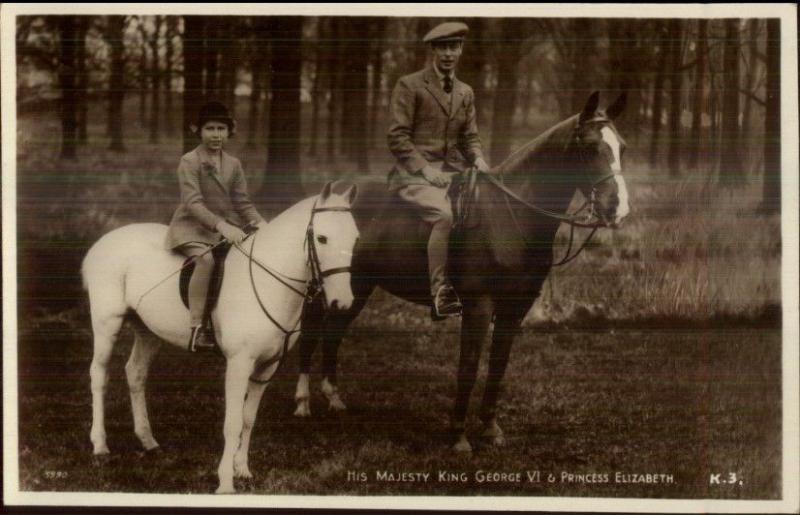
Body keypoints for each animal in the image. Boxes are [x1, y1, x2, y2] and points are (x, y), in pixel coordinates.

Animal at [83, 182, 358, 496]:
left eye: (355, 239)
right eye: (322, 238)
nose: (342, 303)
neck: (269, 281)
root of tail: (103, 241)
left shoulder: (267, 367)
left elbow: (248, 419)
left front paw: (243, 470)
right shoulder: (239, 364)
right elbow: (233, 422)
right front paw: (225, 482)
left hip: (148, 330)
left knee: (136, 373)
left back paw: (148, 440)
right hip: (107, 323)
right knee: (99, 376)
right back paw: (100, 445)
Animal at [296, 91, 632, 452]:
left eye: (623, 148)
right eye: (589, 147)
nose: (619, 209)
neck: (509, 215)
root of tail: (327, 197)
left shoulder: (516, 307)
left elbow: (498, 364)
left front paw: (491, 428)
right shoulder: (479, 305)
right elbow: (468, 366)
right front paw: (458, 436)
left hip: (356, 285)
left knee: (334, 331)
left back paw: (334, 399)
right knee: (311, 331)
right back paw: (302, 403)